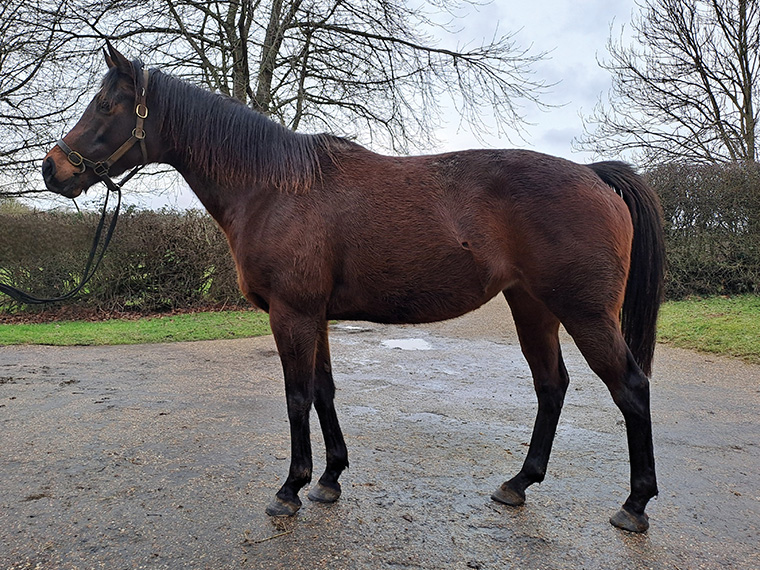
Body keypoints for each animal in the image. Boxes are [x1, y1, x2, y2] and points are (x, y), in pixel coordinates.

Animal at [41, 45, 664, 532]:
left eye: (106, 106)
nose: (53, 171)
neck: (274, 188)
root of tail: (593, 175)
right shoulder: (313, 315)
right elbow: (324, 391)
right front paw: (329, 478)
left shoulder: (291, 313)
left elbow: (296, 395)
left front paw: (290, 489)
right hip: (532, 306)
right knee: (551, 386)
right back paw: (518, 483)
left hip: (585, 313)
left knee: (630, 388)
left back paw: (634, 506)